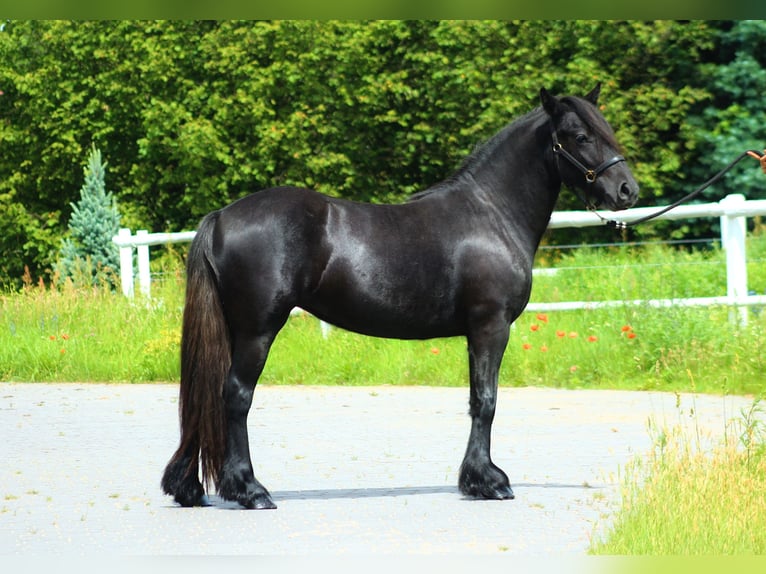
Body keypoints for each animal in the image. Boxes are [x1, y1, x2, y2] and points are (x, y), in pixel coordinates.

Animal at [161, 83, 639, 509]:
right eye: (580, 136)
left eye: (606, 129)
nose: (627, 191)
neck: (492, 214)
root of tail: (222, 216)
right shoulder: (491, 326)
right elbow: (486, 400)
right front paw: (489, 482)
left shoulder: (476, 333)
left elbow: (475, 398)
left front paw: (475, 479)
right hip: (258, 330)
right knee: (236, 396)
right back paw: (250, 490)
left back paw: (189, 488)